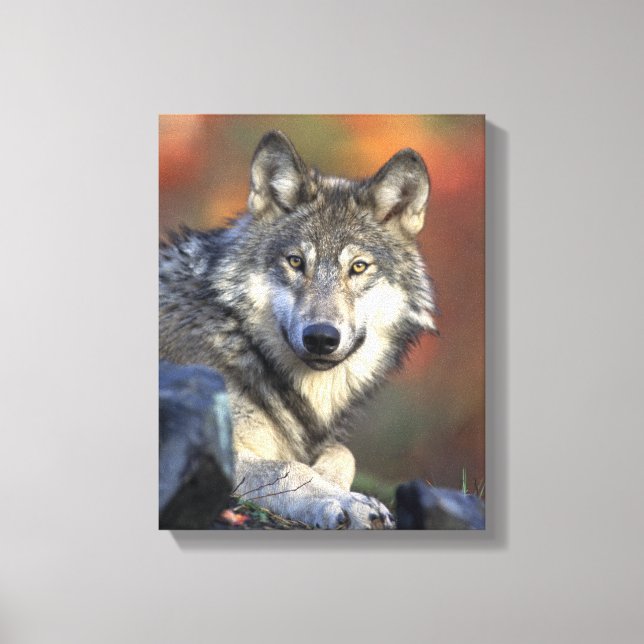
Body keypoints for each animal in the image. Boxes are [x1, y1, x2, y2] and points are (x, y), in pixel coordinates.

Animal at [159, 130, 438, 529]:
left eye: (358, 267)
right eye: (295, 262)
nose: (321, 337)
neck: (239, 339)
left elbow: (343, 452)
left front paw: (335, 484)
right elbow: (289, 469)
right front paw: (347, 501)